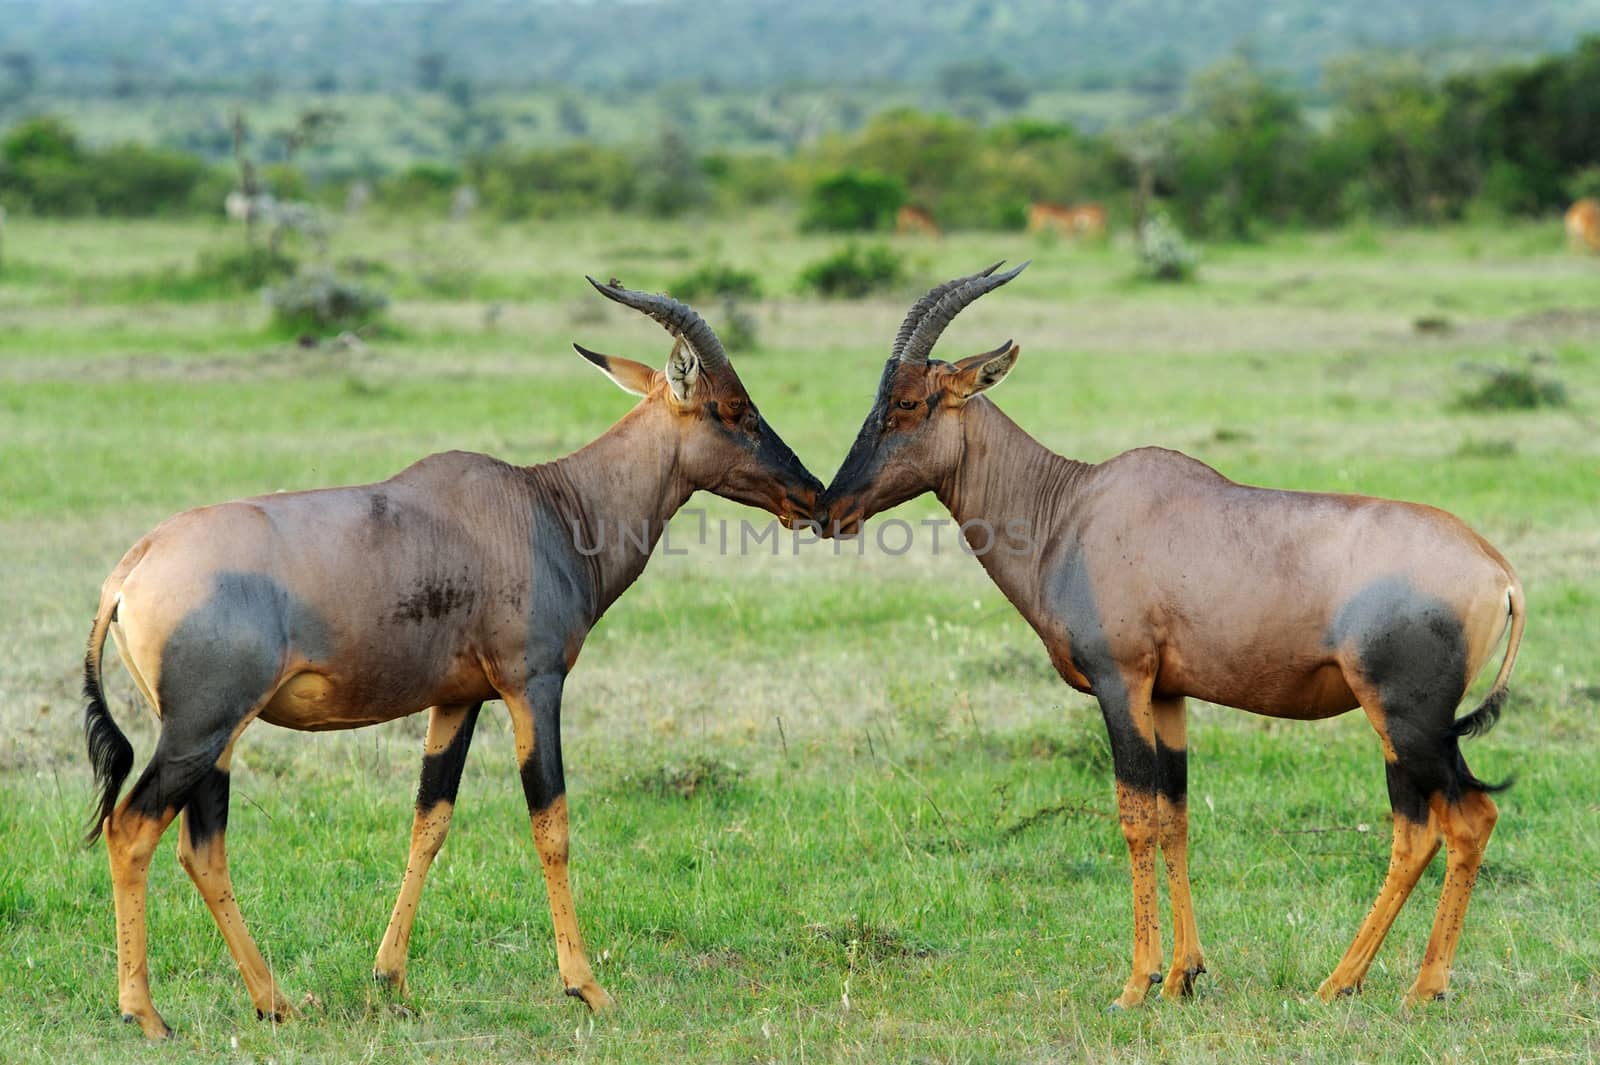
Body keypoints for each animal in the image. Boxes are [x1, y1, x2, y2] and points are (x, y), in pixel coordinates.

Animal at [81, 275, 819, 1036]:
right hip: (200, 729)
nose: (814, 497)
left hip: (221, 735)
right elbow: (551, 823)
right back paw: (146, 1013)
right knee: (131, 828)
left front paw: (389, 976)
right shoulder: (534, 685)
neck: (543, 505)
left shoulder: (458, 699)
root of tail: (131, 569)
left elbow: (429, 822)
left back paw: (275, 1000)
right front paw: (586, 986)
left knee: (203, 848)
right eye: (733, 409)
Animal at [825, 260, 1523, 1010]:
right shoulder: (1168, 695)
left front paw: (1136, 982)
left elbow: (1134, 817)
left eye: (907, 404)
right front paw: (1184, 973)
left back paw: (1402, 986)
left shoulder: (1120, 682)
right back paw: (1356, 980)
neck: (1072, 507)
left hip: (1406, 717)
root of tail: (1498, 570)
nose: (830, 509)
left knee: (1461, 819)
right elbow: (1174, 816)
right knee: (1423, 829)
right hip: (1408, 726)